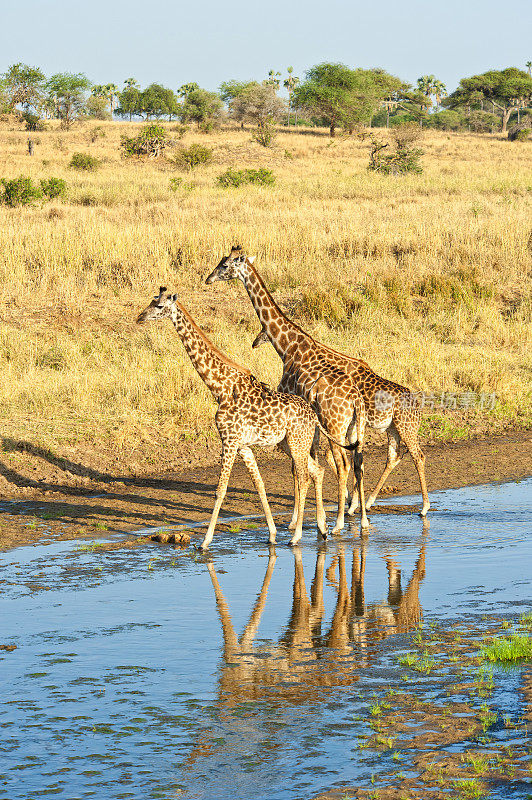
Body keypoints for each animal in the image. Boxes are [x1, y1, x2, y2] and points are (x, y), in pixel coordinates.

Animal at [135, 288, 356, 552]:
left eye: (159, 306)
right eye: (150, 301)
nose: (139, 318)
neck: (219, 387)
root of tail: (313, 414)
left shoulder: (229, 441)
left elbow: (220, 490)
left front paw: (205, 541)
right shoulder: (244, 446)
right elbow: (259, 484)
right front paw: (271, 534)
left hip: (296, 442)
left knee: (304, 477)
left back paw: (297, 536)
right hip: (289, 443)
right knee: (318, 471)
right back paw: (322, 529)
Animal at [206, 247, 430, 528]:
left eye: (225, 265)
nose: (208, 279)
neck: (289, 347)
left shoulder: (296, 408)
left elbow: (301, 466)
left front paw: (299, 520)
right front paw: (339, 507)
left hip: (373, 426)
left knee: (402, 457)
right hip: (378, 428)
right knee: (378, 458)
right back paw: (361, 511)